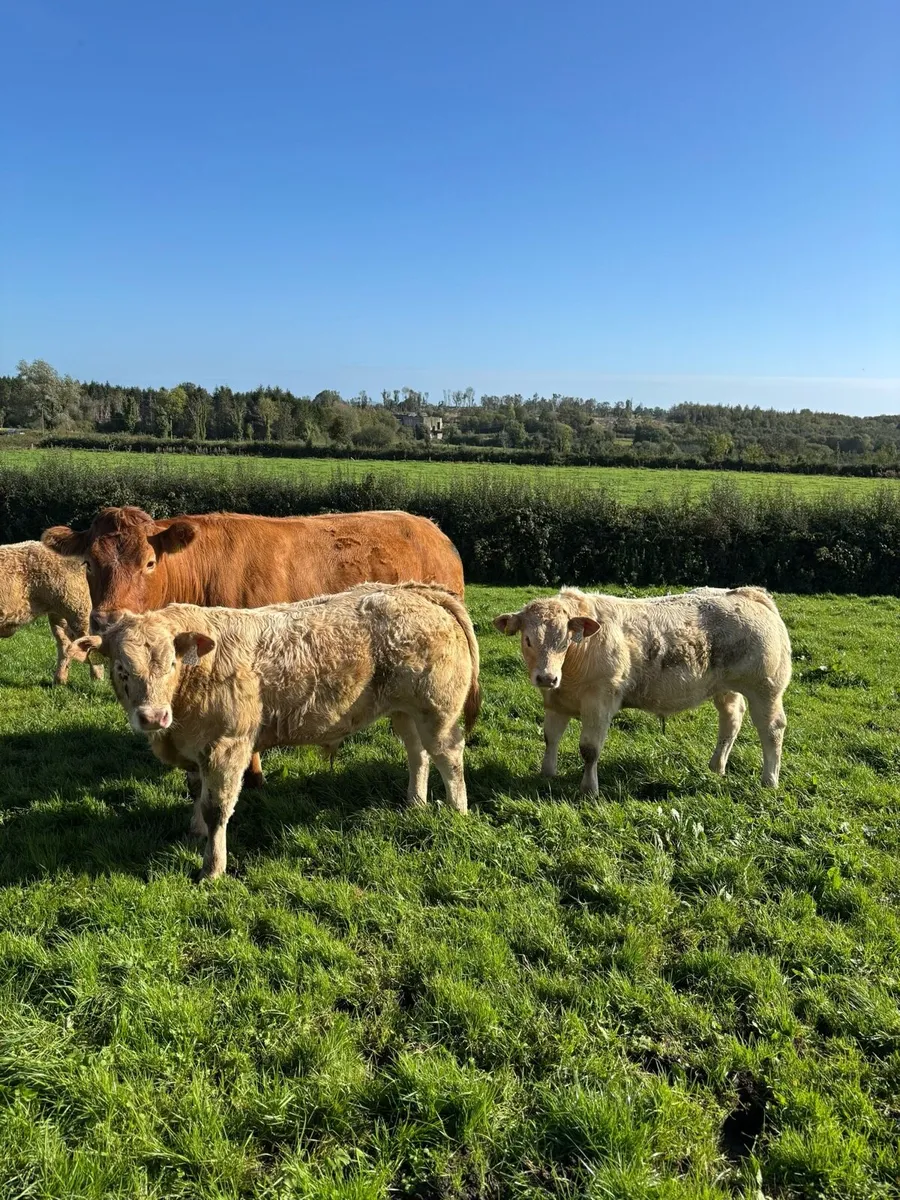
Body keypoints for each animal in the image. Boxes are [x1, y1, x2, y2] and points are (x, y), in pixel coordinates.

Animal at [0, 541, 103, 684]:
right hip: (58, 614)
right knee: (65, 643)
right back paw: (59, 681)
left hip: (79, 609)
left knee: (91, 642)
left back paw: (97, 680)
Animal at [67, 583, 481, 879]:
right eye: (121, 669)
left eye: (171, 664)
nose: (153, 717)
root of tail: (415, 591)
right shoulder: (195, 750)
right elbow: (197, 794)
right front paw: (194, 833)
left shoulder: (227, 747)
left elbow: (217, 808)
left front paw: (212, 869)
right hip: (404, 711)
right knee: (417, 753)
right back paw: (415, 803)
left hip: (437, 709)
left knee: (448, 754)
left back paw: (457, 812)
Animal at [493, 586, 791, 791]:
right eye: (528, 640)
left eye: (566, 640)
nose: (546, 677)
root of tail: (749, 593)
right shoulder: (556, 701)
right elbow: (550, 738)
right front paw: (547, 774)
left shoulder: (599, 701)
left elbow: (589, 749)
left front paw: (589, 789)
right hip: (725, 687)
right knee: (731, 719)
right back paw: (716, 766)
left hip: (766, 688)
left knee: (772, 729)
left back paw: (769, 780)